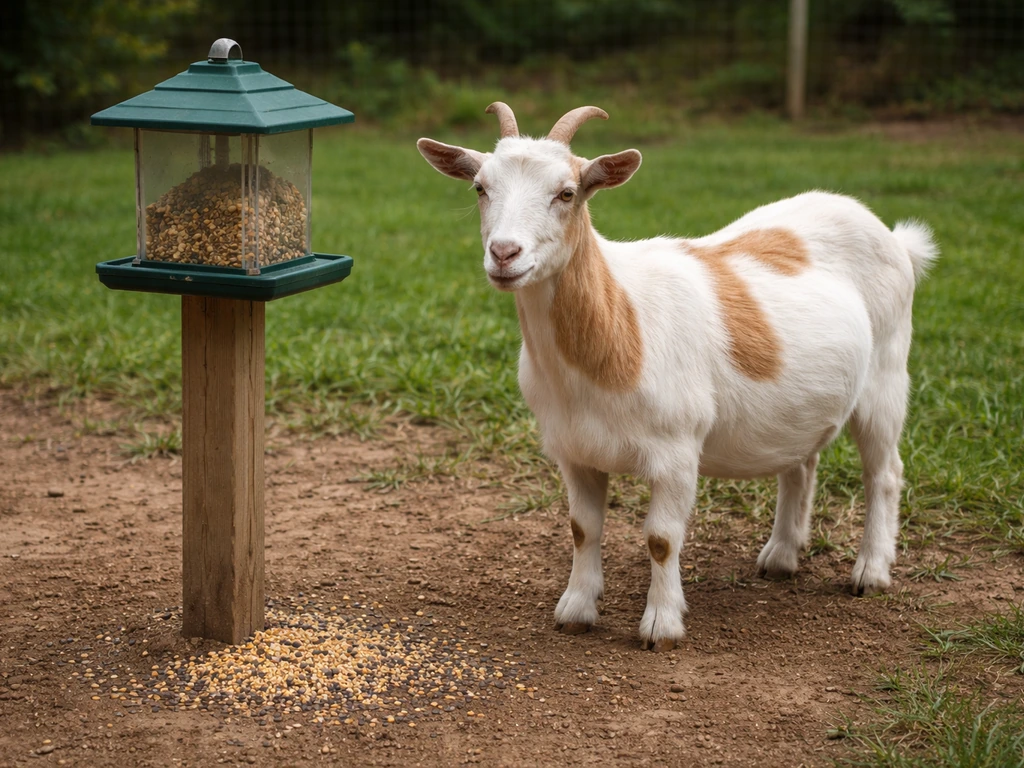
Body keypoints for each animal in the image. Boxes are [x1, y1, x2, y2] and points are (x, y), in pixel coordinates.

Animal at [416, 103, 938, 651]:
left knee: (884, 471)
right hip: (801, 404)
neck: (620, 326)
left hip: (886, 373)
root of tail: (895, 240)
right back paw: (780, 557)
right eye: (480, 187)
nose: (504, 254)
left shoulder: (677, 450)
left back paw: (871, 571)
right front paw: (575, 611)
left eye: (567, 193)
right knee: (800, 463)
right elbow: (583, 528)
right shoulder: (573, 449)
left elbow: (662, 539)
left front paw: (661, 627)